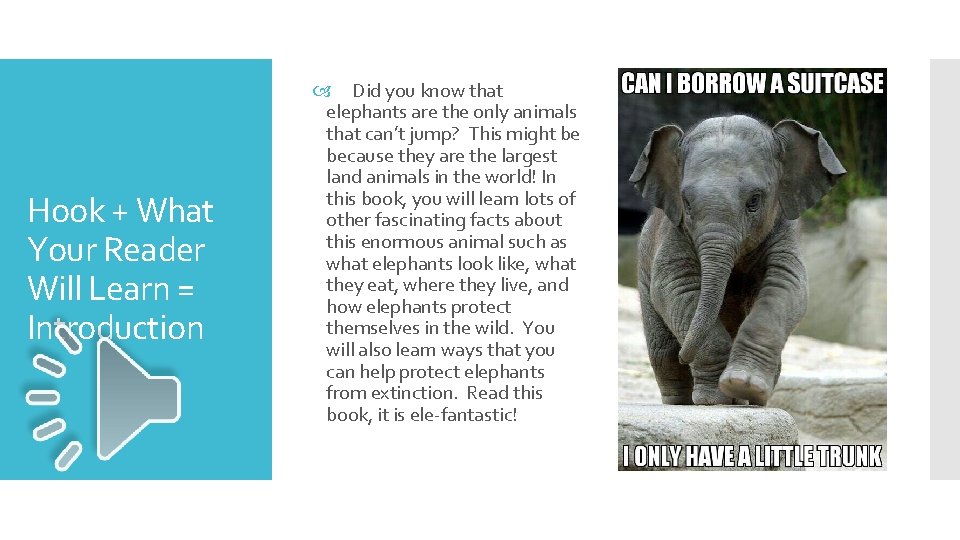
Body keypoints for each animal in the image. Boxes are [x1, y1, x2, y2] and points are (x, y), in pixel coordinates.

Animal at [631, 115, 845, 406]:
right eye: (687, 203)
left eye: (754, 201)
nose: (684, 354)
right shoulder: (674, 231)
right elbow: (675, 286)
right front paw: (714, 400)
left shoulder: (784, 229)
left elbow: (786, 285)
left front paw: (744, 386)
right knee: (663, 351)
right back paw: (683, 401)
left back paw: (747, 401)